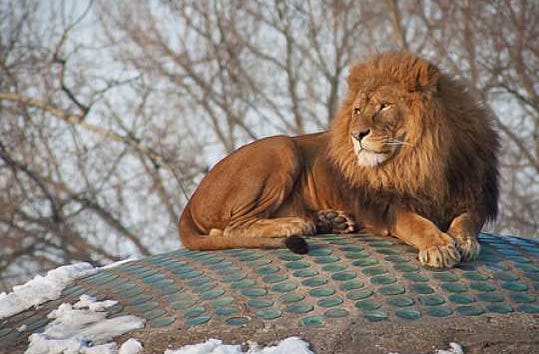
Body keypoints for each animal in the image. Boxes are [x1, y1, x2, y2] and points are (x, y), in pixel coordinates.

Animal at [179, 51, 500, 268]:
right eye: (358, 109)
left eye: (384, 106)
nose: (357, 135)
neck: (419, 159)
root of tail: (190, 202)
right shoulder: (387, 208)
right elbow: (416, 223)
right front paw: (438, 246)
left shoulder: (472, 197)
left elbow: (467, 220)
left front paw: (464, 241)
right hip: (281, 146)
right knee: (230, 228)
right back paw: (298, 224)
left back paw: (330, 220)